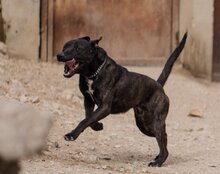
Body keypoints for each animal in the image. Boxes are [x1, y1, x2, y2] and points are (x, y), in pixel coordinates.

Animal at [56, 32, 187, 167]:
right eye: (64, 47)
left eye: (78, 48)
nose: (59, 55)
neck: (93, 72)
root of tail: (159, 86)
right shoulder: (88, 100)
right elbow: (88, 117)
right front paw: (97, 126)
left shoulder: (104, 107)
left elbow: (85, 120)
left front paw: (71, 135)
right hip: (143, 125)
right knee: (163, 139)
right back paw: (158, 156)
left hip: (156, 122)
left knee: (163, 141)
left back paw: (158, 162)